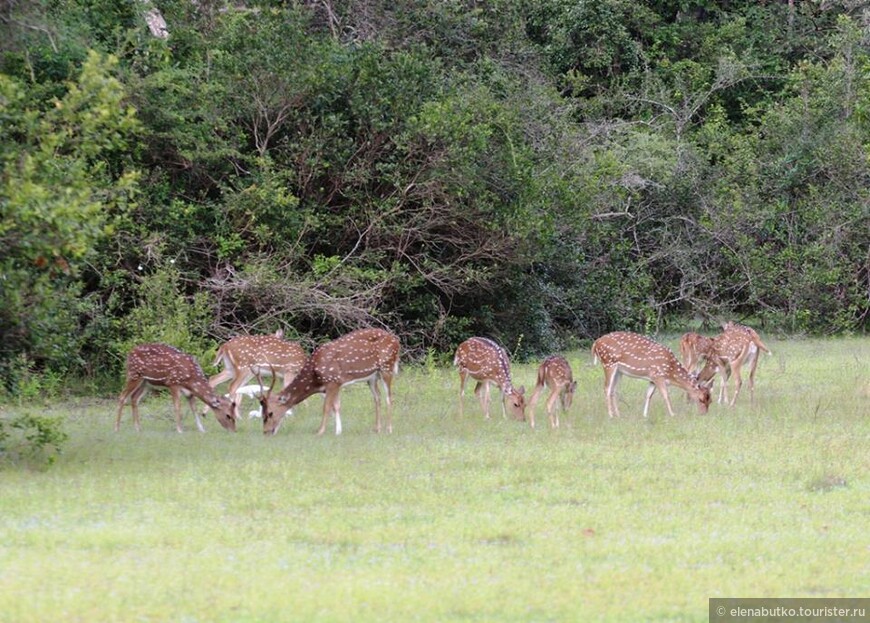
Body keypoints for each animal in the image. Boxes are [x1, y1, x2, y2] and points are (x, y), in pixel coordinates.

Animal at [255, 330, 398, 436]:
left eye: (270, 413)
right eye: (262, 413)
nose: (266, 432)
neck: (315, 378)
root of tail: (396, 340)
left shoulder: (333, 381)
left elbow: (326, 407)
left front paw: (320, 431)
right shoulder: (334, 384)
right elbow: (336, 406)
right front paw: (338, 431)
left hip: (387, 367)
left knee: (389, 398)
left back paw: (389, 429)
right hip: (372, 377)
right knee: (377, 398)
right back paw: (377, 429)